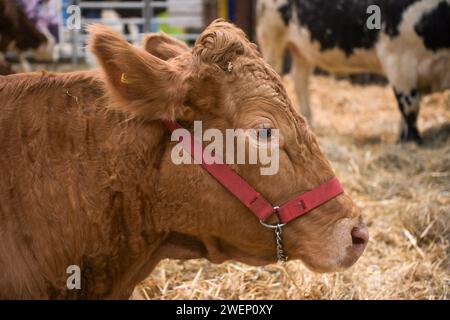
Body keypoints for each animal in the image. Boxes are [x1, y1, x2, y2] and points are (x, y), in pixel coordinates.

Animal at [256, 0, 450, 142]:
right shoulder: (399, 60)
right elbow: (410, 109)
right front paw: (410, 142)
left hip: (302, 48)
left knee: (300, 78)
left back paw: (308, 121)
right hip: (272, 32)